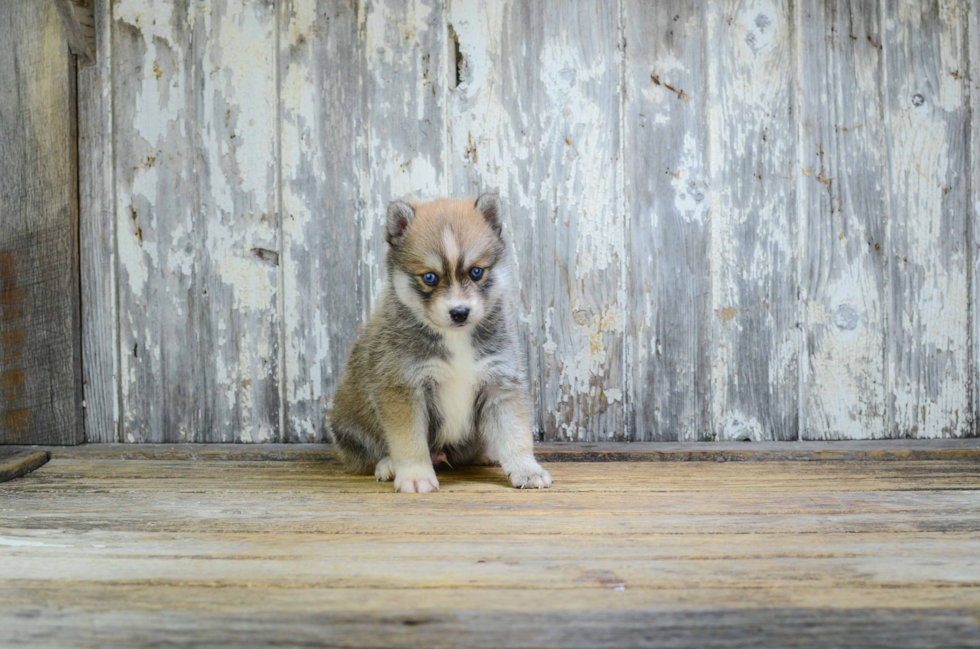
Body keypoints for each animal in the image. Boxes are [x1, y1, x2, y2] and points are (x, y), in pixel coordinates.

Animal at [332, 192, 552, 492]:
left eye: (476, 272)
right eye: (429, 277)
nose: (459, 312)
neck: (455, 338)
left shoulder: (500, 381)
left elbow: (515, 433)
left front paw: (526, 469)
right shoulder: (404, 387)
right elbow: (409, 440)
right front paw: (414, 475)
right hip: (349, 424)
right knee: (368, 453)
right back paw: (388, 464)